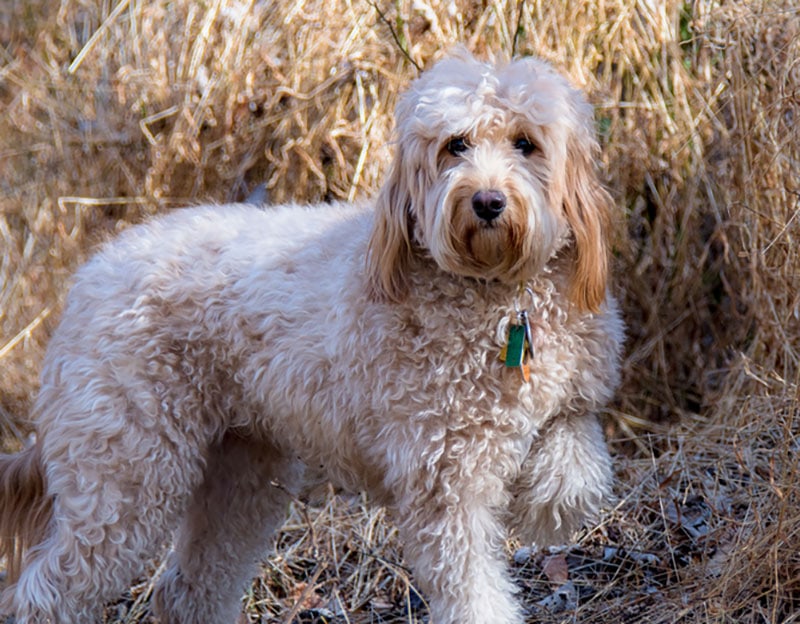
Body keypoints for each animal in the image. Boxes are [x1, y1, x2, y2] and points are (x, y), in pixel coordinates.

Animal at [0, 50, 624, 624]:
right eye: (455, 145)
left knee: (188, 590)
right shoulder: (443, 482)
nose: (488, 201)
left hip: (241, 475)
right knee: (44, 595)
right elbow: (472, 591)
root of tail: (85, 280)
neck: (497, 297)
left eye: (526, 143)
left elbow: (577, 467)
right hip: (125, 473)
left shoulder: (570, 402)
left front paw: (546, 508)